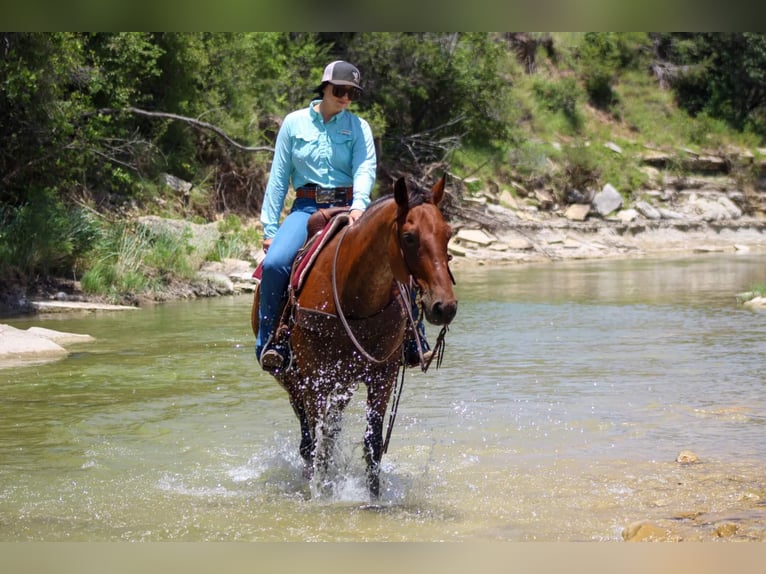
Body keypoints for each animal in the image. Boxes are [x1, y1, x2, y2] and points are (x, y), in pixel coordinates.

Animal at [251, 175, 458, 499]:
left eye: (447, 234)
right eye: (409, 237)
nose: (444, 306)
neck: (355, 296)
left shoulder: (382, 376)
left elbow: (372, 446)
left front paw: (374, 498)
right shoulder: (314, 380)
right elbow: (316, 446)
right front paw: (318, 496)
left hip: (343, 384)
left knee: (329, 433)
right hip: (290, 380)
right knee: (308, 439)